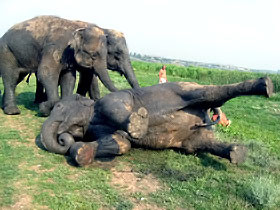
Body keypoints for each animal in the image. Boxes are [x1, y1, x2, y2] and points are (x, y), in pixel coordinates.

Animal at [0, 15, 139, 115]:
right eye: (117, 54)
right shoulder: (55, 47)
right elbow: (46, 72)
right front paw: (46, 107)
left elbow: (69, 78)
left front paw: (67, 106)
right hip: (6, 51)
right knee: (11, 77)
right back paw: (13, 111)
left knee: (18, 78)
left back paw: (5, 105)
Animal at [39, 76, 274, 167]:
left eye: (59, 107)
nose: (63, 138)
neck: (91, 112)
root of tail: (206, 117)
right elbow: (121, 143)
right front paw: (82, 152)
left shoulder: (111, 99)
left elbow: (116, 107)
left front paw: (137, 124)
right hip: (193, 138)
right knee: (202, 144)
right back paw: (237, 153)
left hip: (184, 88)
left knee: (211, 94)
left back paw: (266, 86)